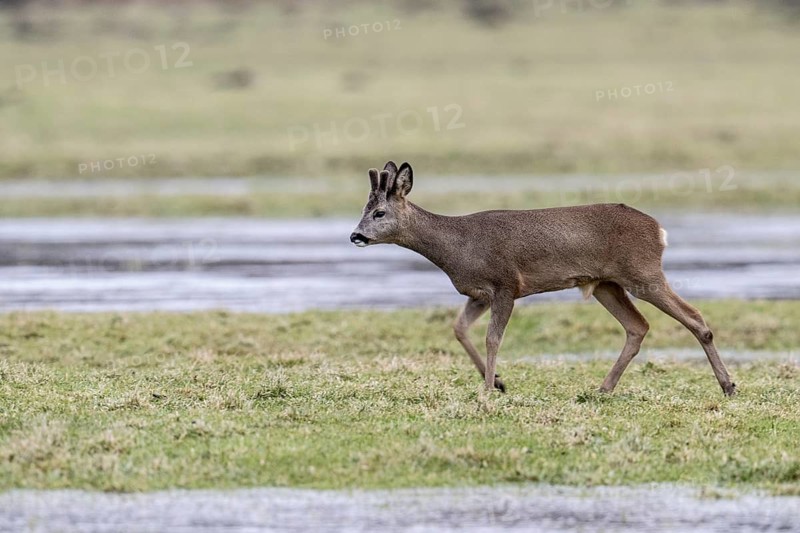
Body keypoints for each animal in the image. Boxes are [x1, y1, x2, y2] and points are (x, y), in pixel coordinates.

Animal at [350, 161, 737, 397]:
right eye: (363, 210)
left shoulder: (506, 284)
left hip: (642, 272)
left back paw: (728, 385)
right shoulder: (478, 292)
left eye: (379, 212)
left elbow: (493, 339)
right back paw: (602, 389)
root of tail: (659, 230)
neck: (456, 247)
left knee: (694, 318)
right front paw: (499, 383)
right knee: (638, 326)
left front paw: (487, 390)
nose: (355, 235)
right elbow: (459, 329)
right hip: (606, 284)